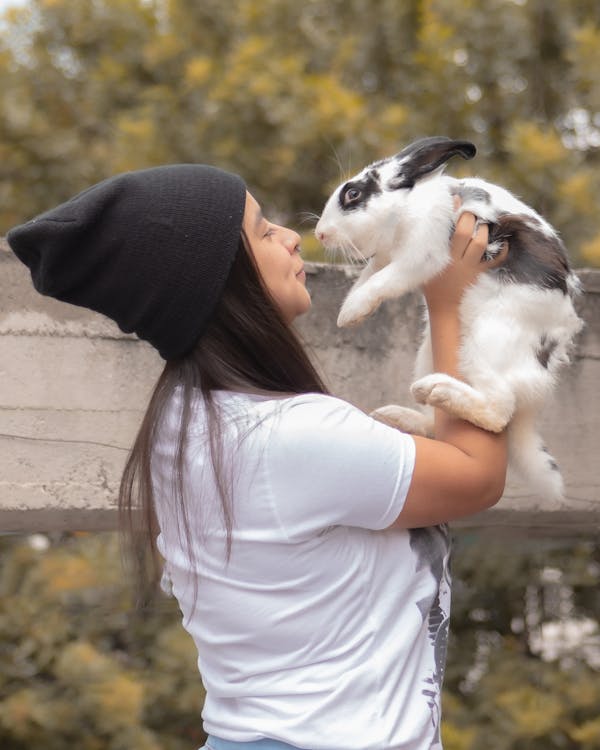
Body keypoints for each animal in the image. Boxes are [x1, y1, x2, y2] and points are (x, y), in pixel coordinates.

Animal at [314, 137, 580, 500]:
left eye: (353, 194)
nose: (320, 233)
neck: (407, 206)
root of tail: (536, 385)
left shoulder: (421, 256)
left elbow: (384, 280)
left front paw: (350, 312)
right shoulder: (386, 258)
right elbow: (368, 276)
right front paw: (349, 312)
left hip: (486, 342)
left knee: (498, 409)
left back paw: (438, 390)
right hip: (430, 352)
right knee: (439, 424)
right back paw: (400, 414)